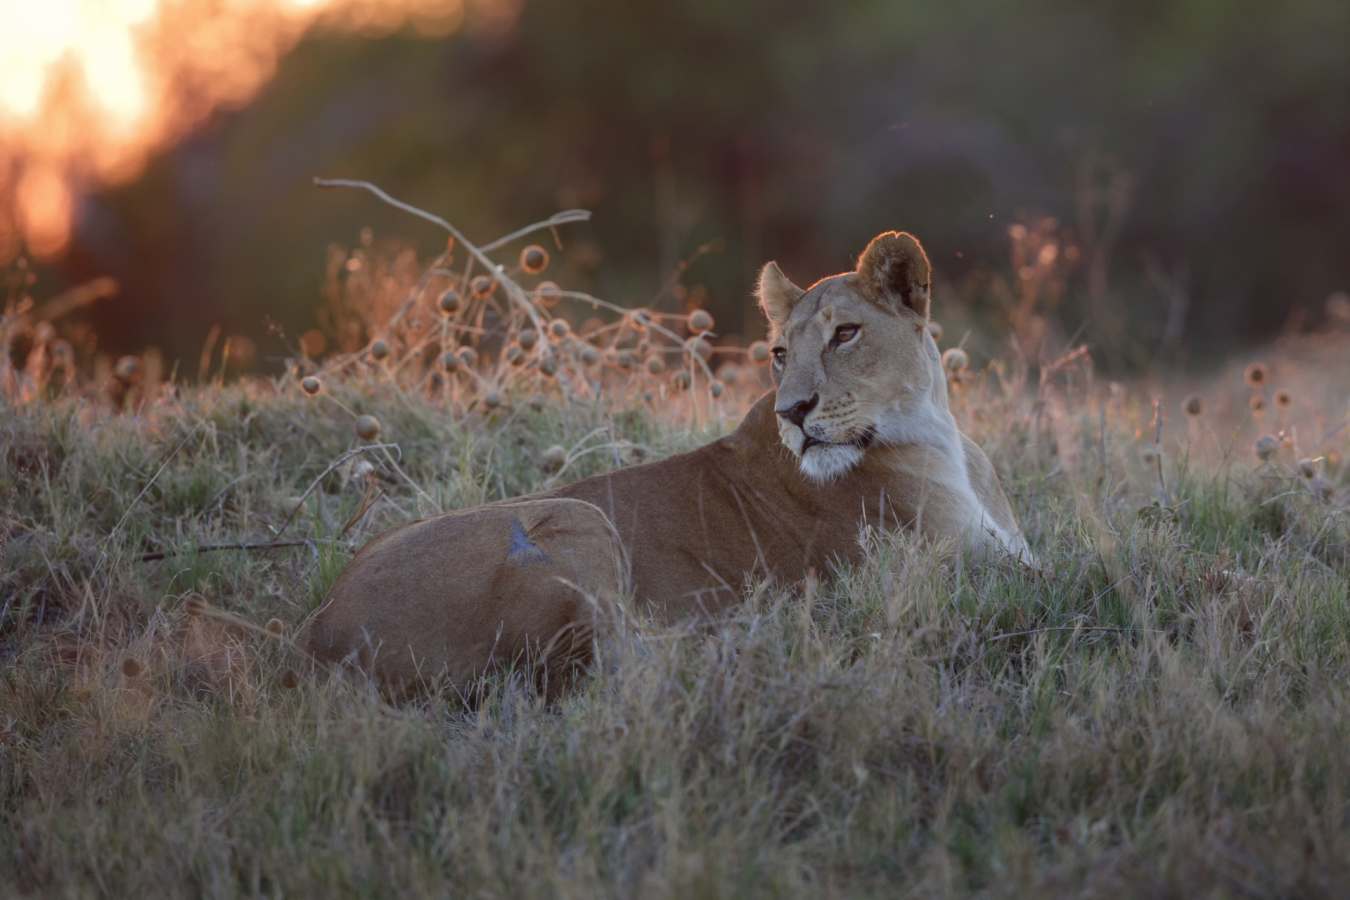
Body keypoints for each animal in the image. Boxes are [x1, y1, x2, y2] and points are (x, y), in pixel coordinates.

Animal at [303, 231, 1031, 692]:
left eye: (846, 334)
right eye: (779, 352)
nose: (793, 412)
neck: (935, 433)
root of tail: (317, 637)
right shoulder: (956, 570)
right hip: (577, 517)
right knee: (609, 665)